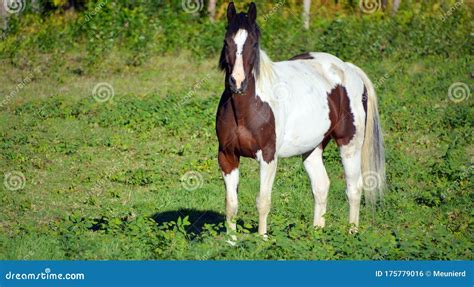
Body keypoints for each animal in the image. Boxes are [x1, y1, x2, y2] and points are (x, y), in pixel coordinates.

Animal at [215, 1, 386, 237]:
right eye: (226, 42)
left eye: (254, 43)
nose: (237, 82)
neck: (247, 109)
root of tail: (348, 68)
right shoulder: (227, 156)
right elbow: (231, 204)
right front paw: (230, 241)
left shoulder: (268, 157)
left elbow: (263, 202)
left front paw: (261, 239)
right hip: (313, 148)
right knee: (321, 186)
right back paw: (316, 233)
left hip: (349, 145)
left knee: (354, 188)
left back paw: (352, 233)